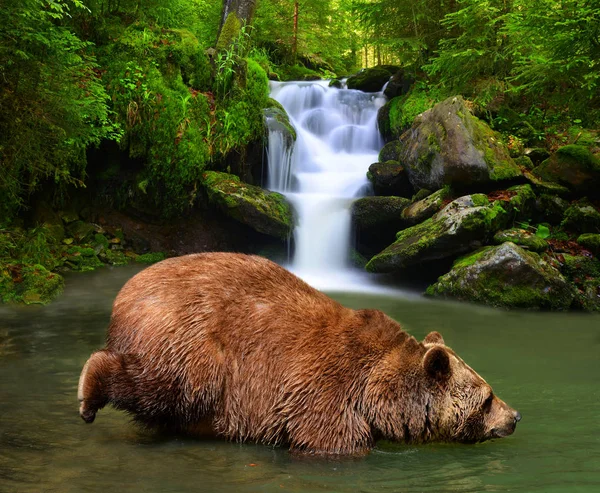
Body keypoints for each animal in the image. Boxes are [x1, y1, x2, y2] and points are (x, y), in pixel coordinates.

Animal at [78, 252, 520, 456]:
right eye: (487, 397)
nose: (514, 416)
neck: (380, 394)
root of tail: (126, 292)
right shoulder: (325, 392)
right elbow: (326, 440)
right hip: (192, 346)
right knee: (162, 386)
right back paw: (89, 393)